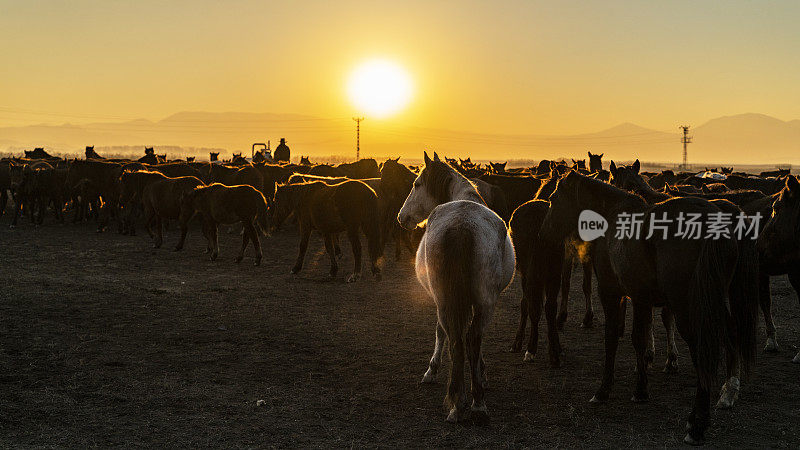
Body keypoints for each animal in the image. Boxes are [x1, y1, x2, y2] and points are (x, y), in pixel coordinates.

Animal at [396, 153, 516, 424]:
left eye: (416, 184)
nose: (401, 217)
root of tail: (462, 225)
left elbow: (441, 332)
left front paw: (432, 370)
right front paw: (480, 374)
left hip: (452, 300)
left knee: (459, 338)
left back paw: (466, 402)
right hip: (483, 303)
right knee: (470, 339)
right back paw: (475, 402)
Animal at [540, 171, 760, 444]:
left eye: (553, 198)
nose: (544, 233)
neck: (611, 216)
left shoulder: (612, 294)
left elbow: (612, 338)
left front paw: (603, 390)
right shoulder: (640, 297)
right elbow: (639, 339)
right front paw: (641, 388)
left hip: (688, 306)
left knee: (702, 347)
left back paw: (697, 424)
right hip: (715, 299)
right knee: (730, 333)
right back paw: (727, 393)